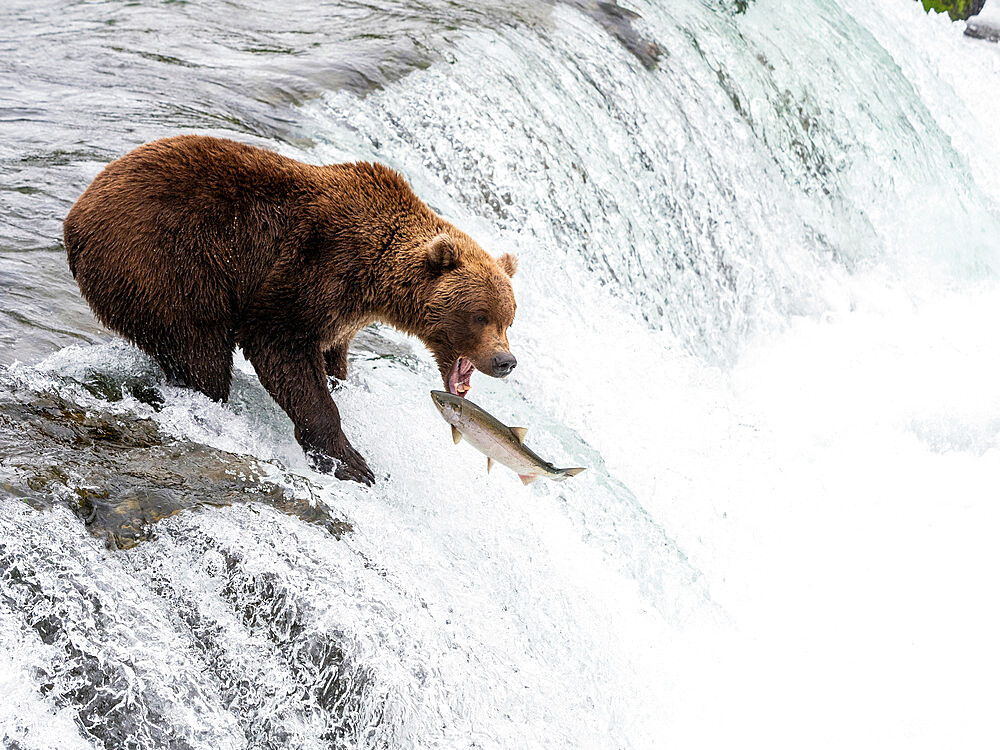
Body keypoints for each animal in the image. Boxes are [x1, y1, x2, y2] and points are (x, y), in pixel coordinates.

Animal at [63, 137, 520, 484]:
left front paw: (341, 390)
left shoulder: (343, 313)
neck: (377, 280)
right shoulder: (314, 269)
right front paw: (350, 461)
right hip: (167, 263)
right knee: (199, 352)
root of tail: (76, 215)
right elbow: (283, 348)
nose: (505, 361)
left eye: (509, 318)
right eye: (480, 315)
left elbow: (331, 356)